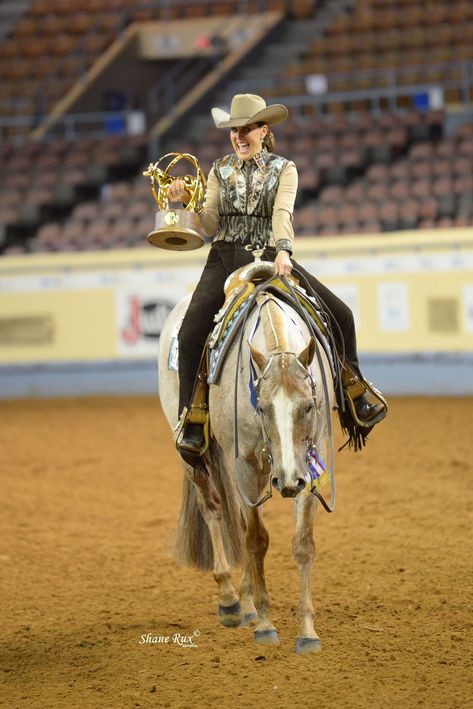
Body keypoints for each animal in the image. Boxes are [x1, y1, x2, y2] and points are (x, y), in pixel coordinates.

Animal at [159, 264, 336, 652]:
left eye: (309, 406)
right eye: (263, 407)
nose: (287, 481)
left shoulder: (308, 459)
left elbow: (302, 544)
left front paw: (307, 631)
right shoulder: (245, 464)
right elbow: (256, 539)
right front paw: (267, 626)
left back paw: (247, 601)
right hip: (196, 456)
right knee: (214, 509)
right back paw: (230, 600)